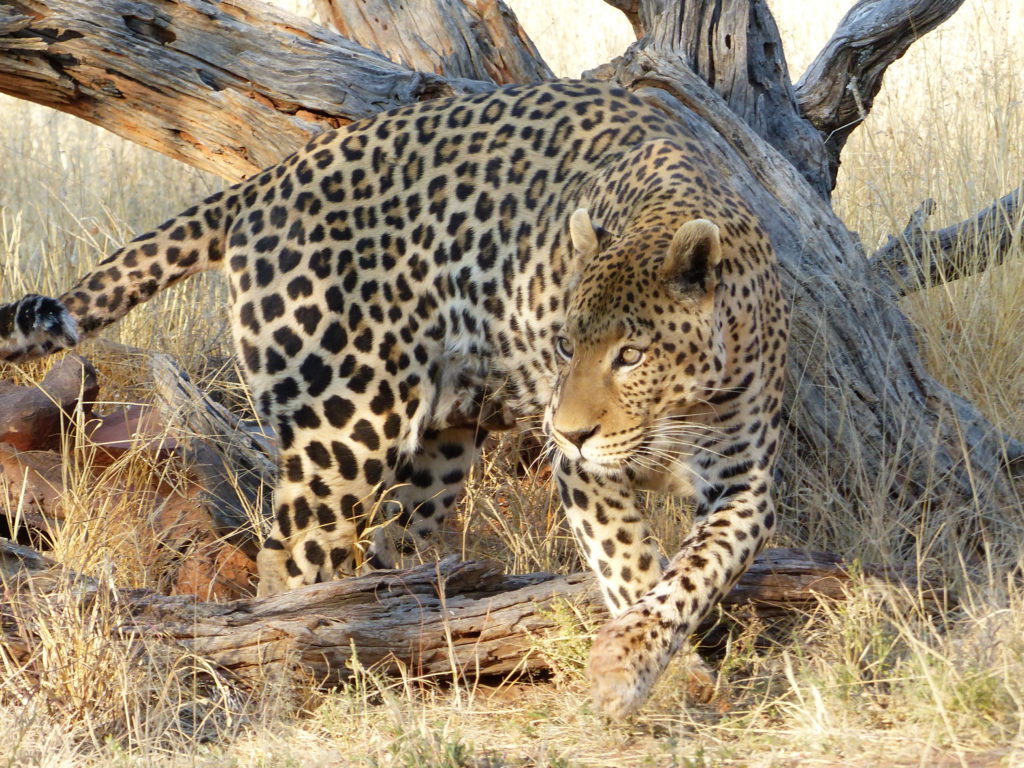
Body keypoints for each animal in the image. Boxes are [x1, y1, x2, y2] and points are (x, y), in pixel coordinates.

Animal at [0, 80, 788, 719]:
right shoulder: (586, 475)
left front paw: (654, 658)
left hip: (437, 453)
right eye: (566, 346)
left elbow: (693, 572)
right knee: (291, 559)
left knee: (385, 545)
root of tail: (263, 181)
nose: (568, 430)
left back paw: (390, 643)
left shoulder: (745, 480)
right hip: (344, 428)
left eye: (631, 355)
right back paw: (288, 674)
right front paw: (644, 673)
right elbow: (631, 564)